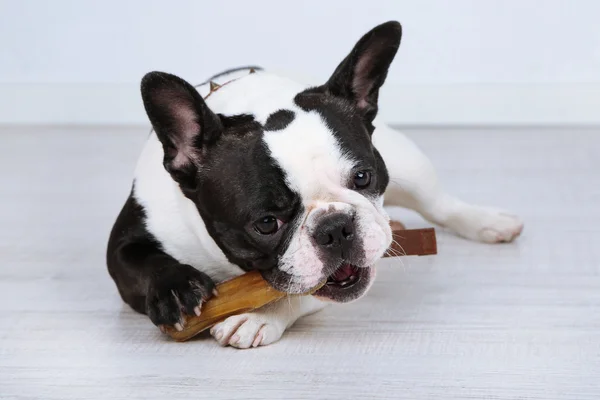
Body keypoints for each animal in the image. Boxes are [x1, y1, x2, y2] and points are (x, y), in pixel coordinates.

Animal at [106, 21, 520, 346]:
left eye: (363, 177)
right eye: (266, 223)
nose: (335, 227)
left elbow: (301, 292)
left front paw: (259, 316)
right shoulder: (127, 241)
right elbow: (138, 262)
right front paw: (174, 288)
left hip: (409, 164)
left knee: (439, 204)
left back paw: (489, 222)